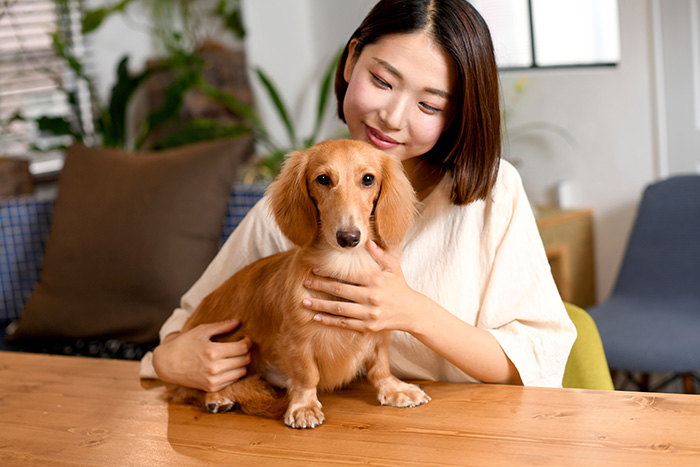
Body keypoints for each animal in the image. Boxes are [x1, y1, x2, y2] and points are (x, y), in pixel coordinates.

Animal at [170, 139, 432, 428]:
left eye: (368, 179)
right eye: (323, 179)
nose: (348, 238)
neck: (347, 264)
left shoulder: (379, 332)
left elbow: (380, 366)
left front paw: (393, 389)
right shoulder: (296, 340)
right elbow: (307, 375)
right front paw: (304, 407)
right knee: (187, 387)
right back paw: (216, 397)